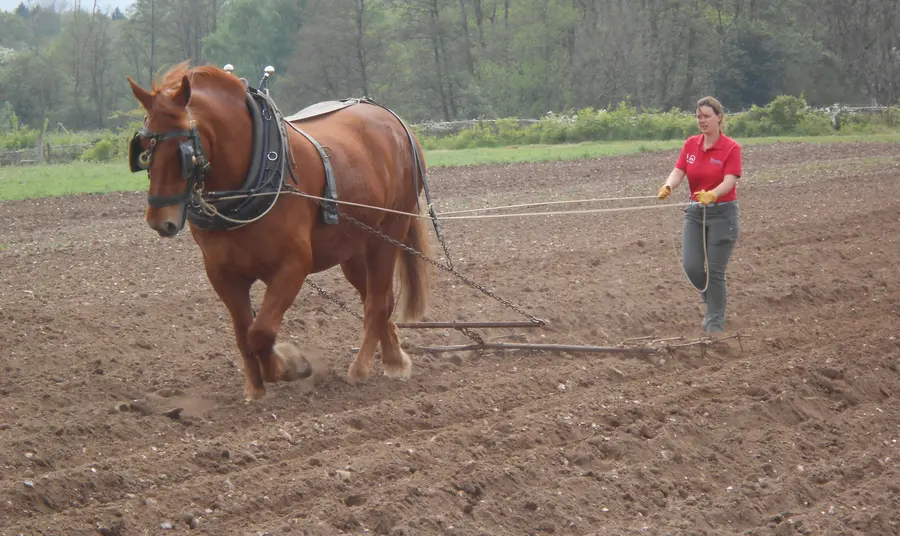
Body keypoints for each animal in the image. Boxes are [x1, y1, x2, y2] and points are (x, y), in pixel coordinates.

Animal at [126, 61, 434, 401]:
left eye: (184, 150)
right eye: (144, 149)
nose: (159, 220)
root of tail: (392, 119)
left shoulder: (292, 266)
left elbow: (261, 332)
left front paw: (288, 367)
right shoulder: (222, 274)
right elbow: (243, 333)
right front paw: (255, 388)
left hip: (388, 232)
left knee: (378, 301)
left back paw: (361, 368)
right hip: (353, 249)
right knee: (378, 299)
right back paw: (394, 360)